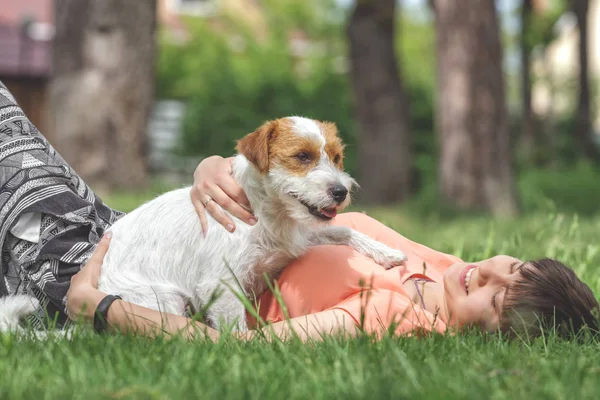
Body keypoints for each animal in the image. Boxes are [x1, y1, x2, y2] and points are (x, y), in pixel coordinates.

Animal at [0, 116, 406, 334]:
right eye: (302, 157)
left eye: (336, 158)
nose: (341, 191)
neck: (266, 212)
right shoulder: (221, 283)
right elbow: (235, 326)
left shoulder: (299, 238)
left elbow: (344, 230)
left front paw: (386, 253)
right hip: (165, 299)